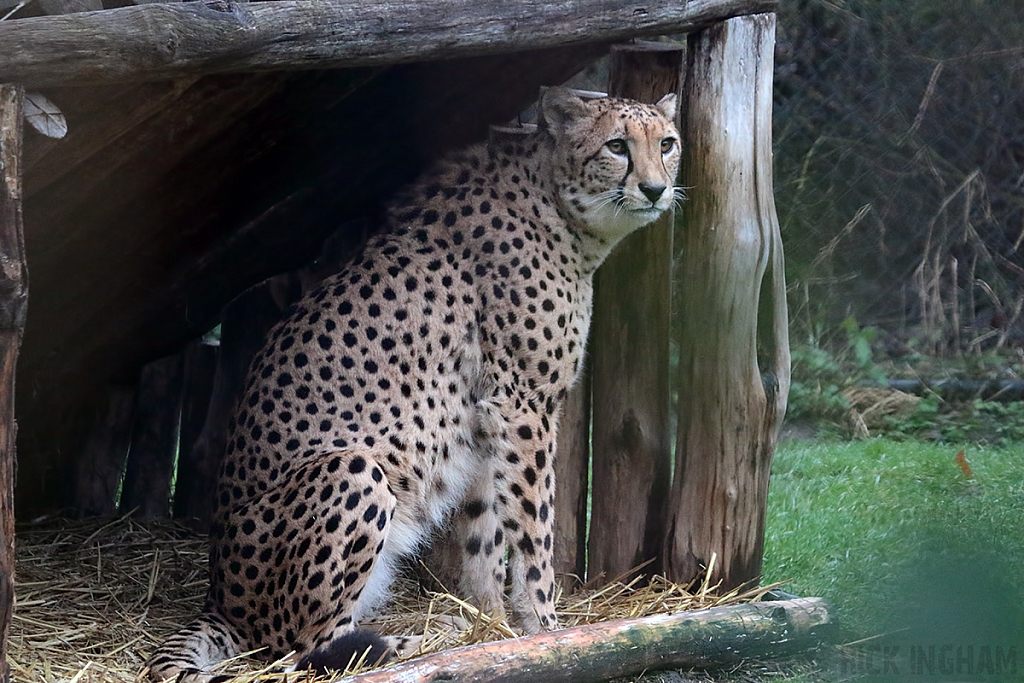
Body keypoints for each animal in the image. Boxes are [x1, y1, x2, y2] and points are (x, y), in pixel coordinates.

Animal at [148, 88, 679, 679]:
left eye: (667, 144)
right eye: (617, 146)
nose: (656, 189)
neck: (556, 204)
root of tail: (218, 596)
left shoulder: (485, 418)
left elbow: (486, 533)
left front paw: (493, 625)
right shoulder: (524, 407)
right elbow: (533, 532)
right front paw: (547, 628)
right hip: (354, 468)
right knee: (304, 647)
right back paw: (422, 639)